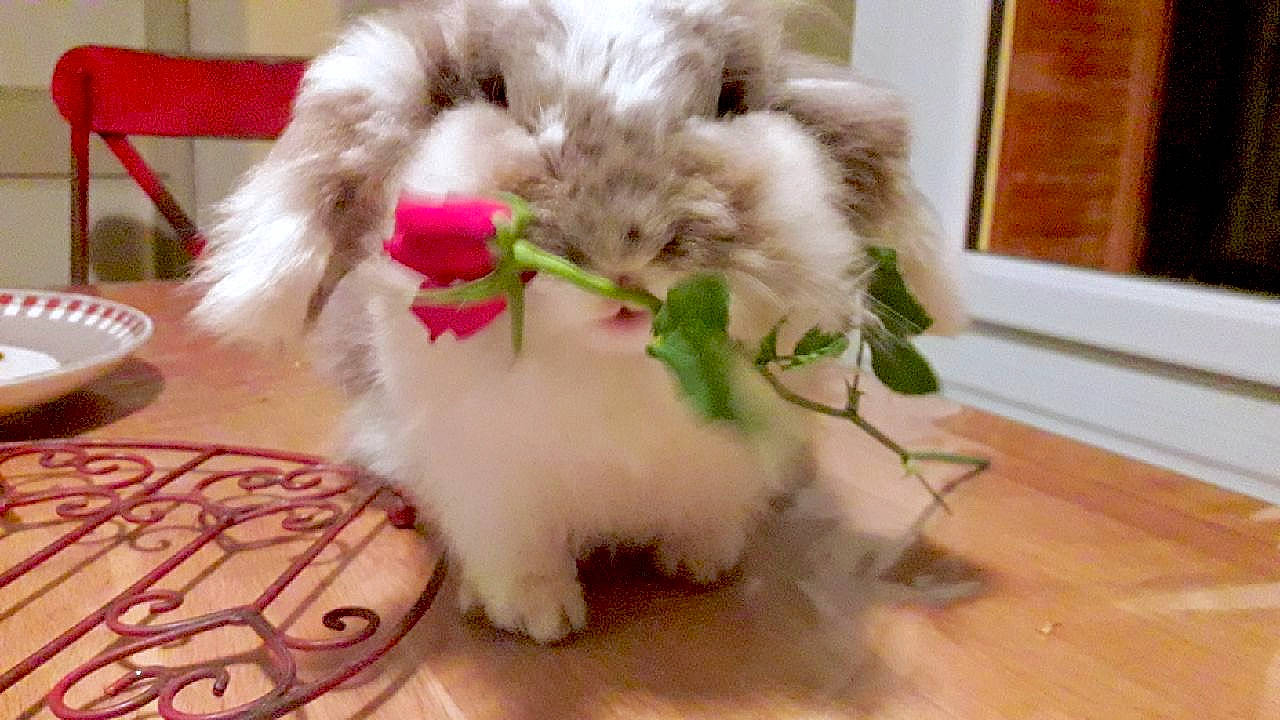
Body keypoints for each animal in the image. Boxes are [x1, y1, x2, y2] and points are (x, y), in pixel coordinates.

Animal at [190, 0, 965, 643]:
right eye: (497, 93)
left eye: (727, 100)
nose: (624, 252)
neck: (611, 373)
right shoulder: (489, 486)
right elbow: (519, 554)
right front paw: (538, 616)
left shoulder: (728, 466)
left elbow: (707, 517)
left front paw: (700, 564)